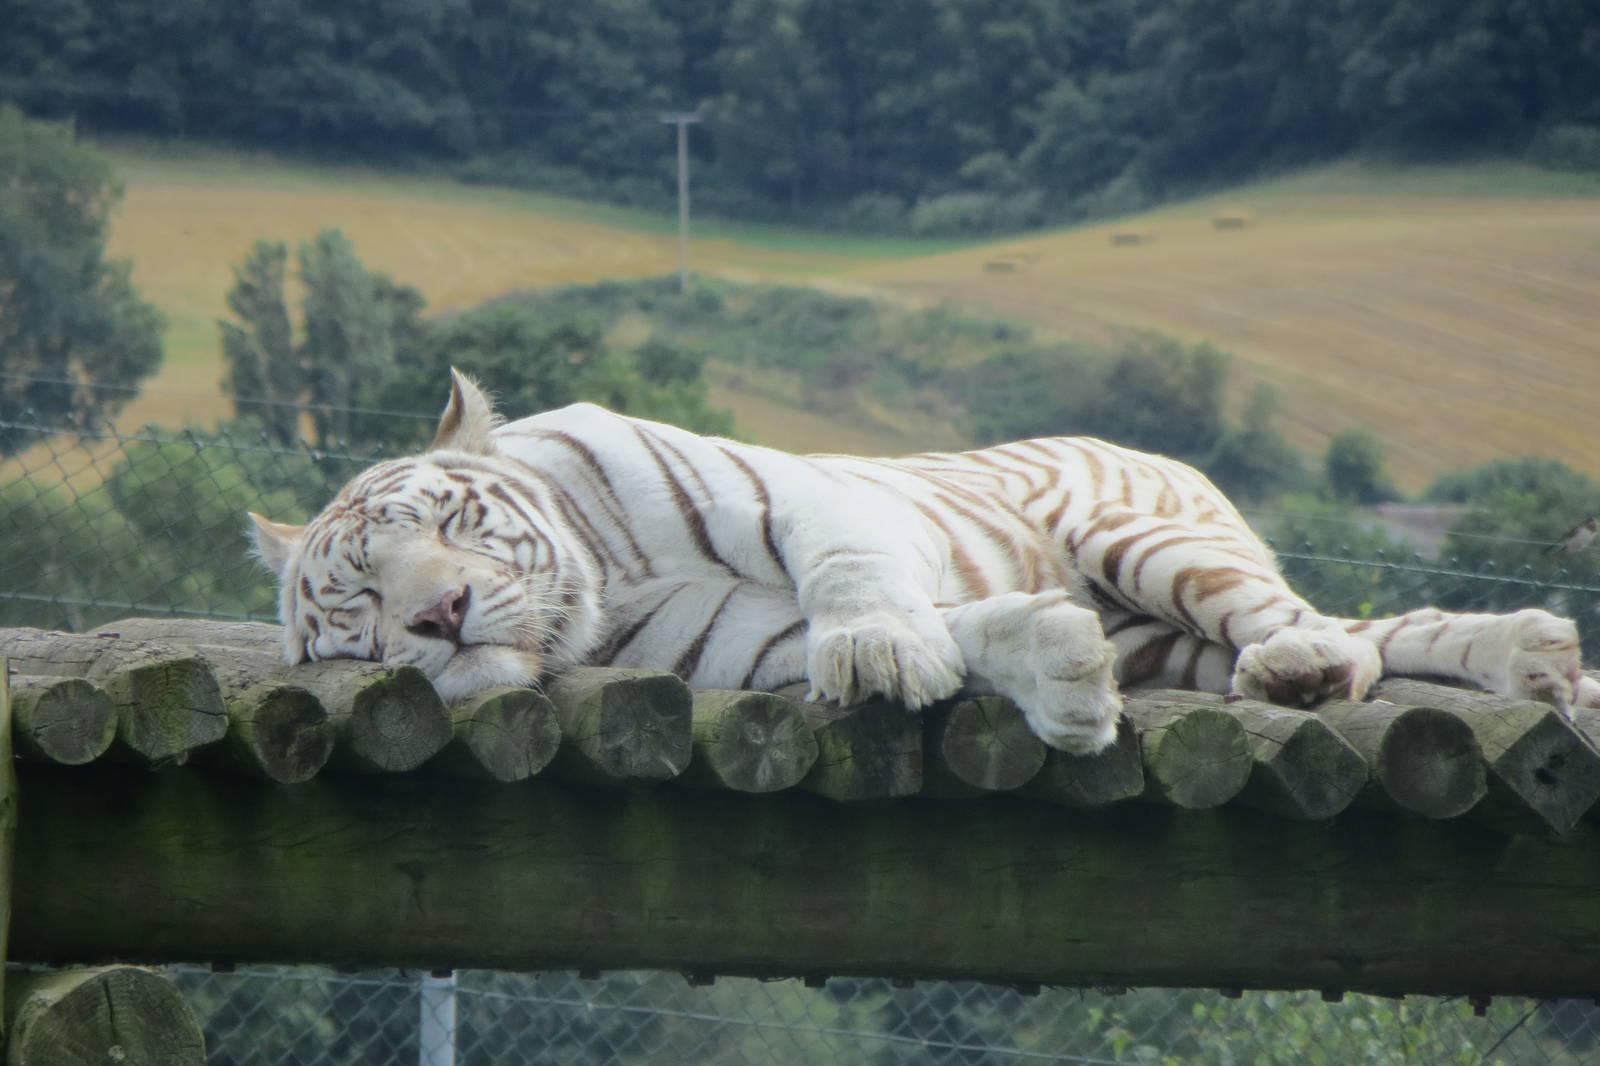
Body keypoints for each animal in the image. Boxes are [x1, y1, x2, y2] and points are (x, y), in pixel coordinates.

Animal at [248, 370, 1600, 754]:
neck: (600, 591)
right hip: (1166, 639)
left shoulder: (802, 495)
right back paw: (1530, 657)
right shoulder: (732, 643)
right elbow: (971, 632)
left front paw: (881, 646)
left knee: (1314, 630)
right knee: (1365, 642)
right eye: (359, 599)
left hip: (1148, 542)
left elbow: (850, 579)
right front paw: (1054, 673)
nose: (442, 614)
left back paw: (1307, 668)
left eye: (449, 525)